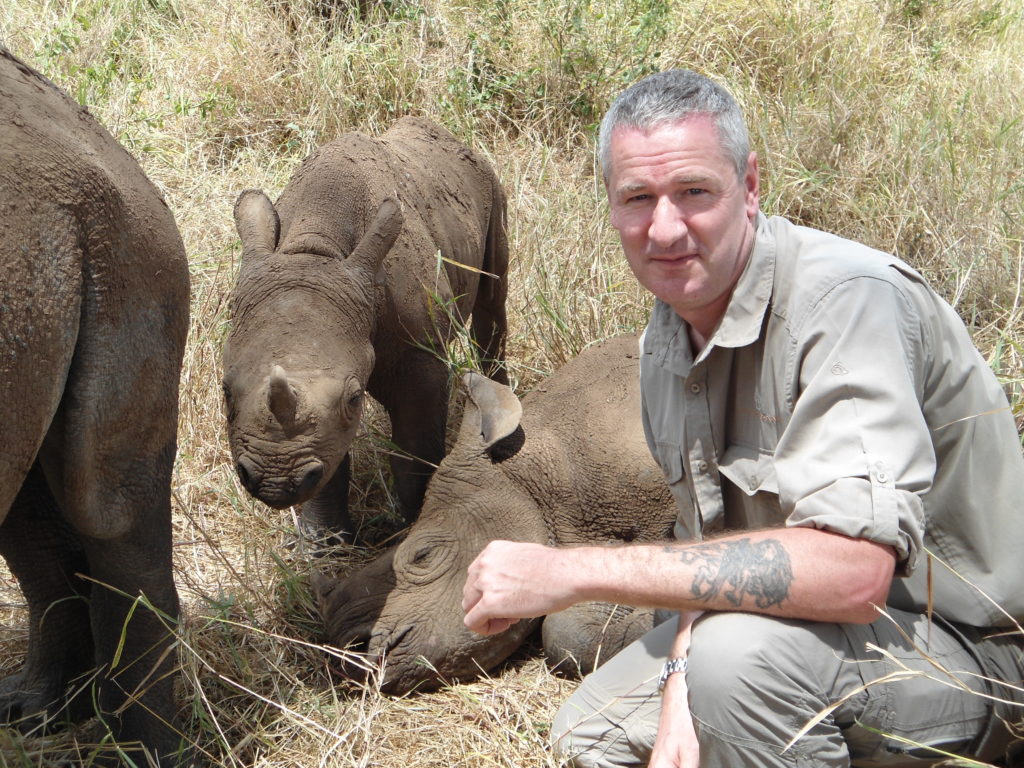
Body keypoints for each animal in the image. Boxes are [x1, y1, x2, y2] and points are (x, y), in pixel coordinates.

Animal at [225, 117, 512, 544]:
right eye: (226, 392)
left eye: (354, 398)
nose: (275, 483)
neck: (315, 248)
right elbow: (328, 458)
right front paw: (324, 544)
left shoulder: (419, 351)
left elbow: (414, 446)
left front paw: (416, 523)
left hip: (489, 182)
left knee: (492, 302)